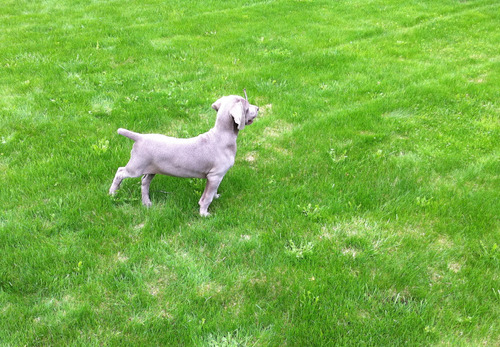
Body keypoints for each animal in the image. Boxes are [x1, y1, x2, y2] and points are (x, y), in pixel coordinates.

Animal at [108, 94, 258, 216]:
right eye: (246, 105)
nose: (257, 108)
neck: (221, 136)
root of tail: (140, 137)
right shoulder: (215, 175)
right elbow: (206, 197)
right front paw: (204, 214)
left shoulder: (215, 178)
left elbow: (213, 192)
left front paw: (216, 196)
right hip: (136, 167)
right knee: (120, 172)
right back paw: (112, 193)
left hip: (151, 169)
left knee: (144, 181)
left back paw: (146, 203)